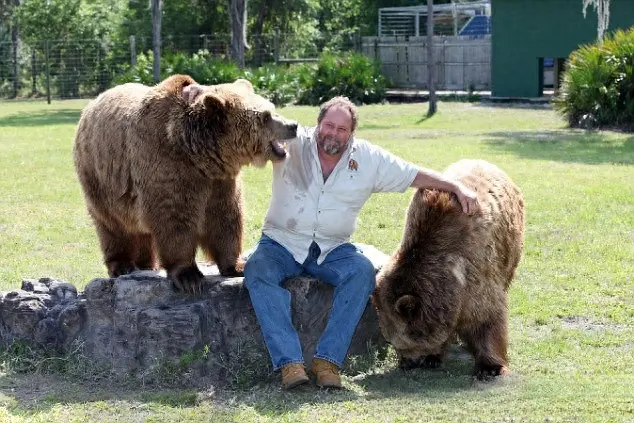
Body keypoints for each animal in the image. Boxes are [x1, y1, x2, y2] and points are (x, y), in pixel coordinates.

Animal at [73, 74, 296, 294]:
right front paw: (189, 277)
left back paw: (147, 264)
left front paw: (236, 266)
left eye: (272, 107)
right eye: (265, 116)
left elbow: (225, 219)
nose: (293, 125)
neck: (198, 156)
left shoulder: (221, 183)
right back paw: (122, 265)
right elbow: (175, 221)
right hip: (100, 177)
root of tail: (93, 102)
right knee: (112, 224)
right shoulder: (168, 167)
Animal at [370, 160, 524, 380]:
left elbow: (487, 317)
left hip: (510, 251)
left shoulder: (476, 271)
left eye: (396, 340)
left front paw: (490, 367)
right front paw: (433, 357)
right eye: (389, 339)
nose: (406, 363)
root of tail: (487, 163)